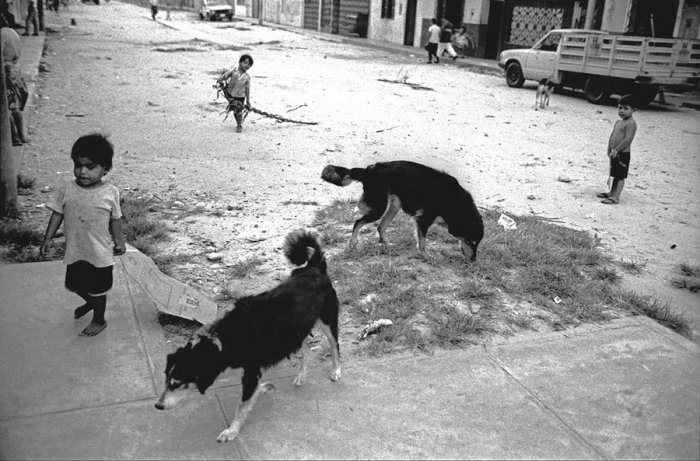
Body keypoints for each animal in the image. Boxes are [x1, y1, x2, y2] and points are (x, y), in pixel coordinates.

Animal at [154, 230, 340, 442]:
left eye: (178, 384)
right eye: (166, 380)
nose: (158, 405)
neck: (224, 341)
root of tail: (314, 267)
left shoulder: (251, 373)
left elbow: (241, 406)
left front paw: (231, 431)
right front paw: (264, 389)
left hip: (328, 321)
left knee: (335, 346)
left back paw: (336, 371)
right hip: (293, 332)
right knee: (306, 350)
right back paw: (301, 375)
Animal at [322, 159, 482, 258]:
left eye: (476, 243)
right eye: (472, 242)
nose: (473, 260)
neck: (455, 201)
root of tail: (369, 170)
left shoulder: (421, 220)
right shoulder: (423, 220)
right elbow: (422, 242)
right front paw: (426, 256)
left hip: (393, 206)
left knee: (380, 226)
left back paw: (387, 244)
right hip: (379, 208)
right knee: (358, 222)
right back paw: (352, 244)